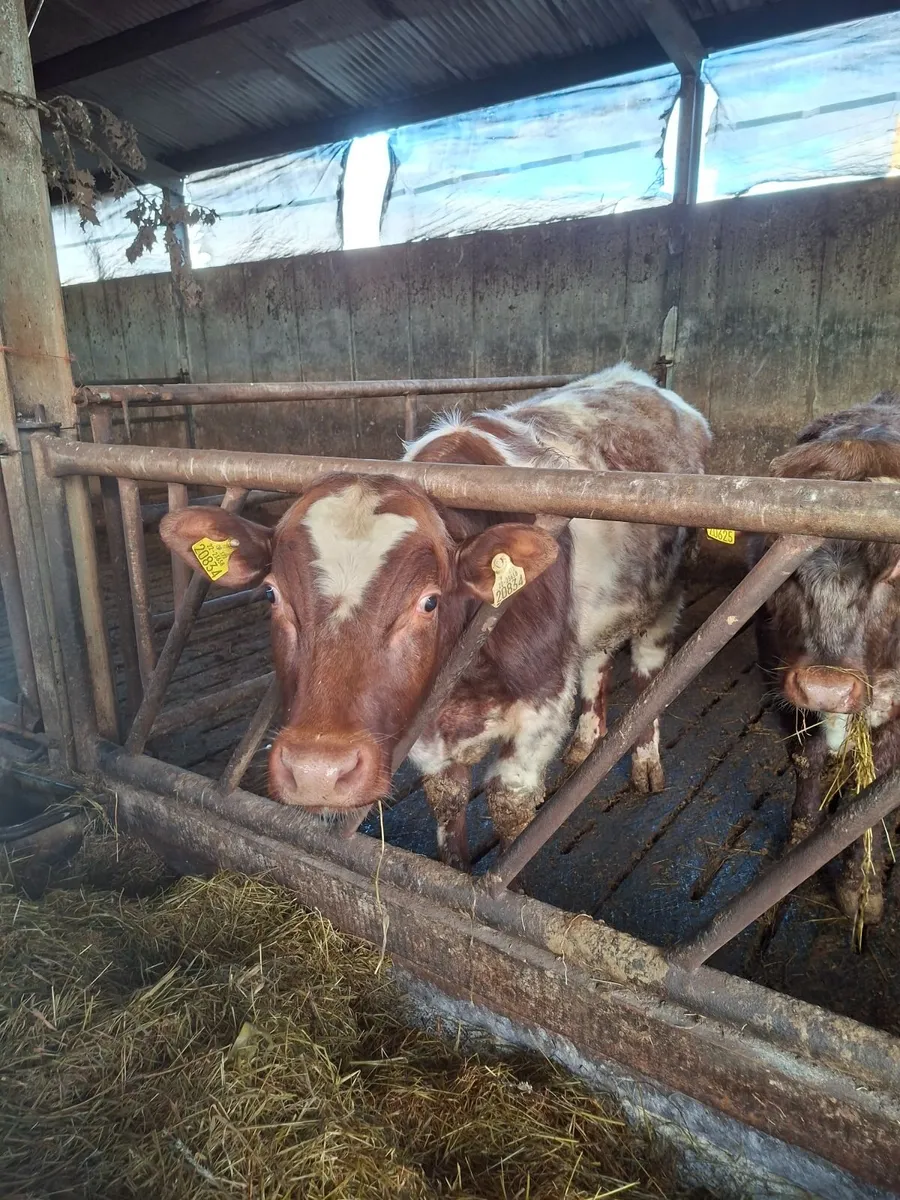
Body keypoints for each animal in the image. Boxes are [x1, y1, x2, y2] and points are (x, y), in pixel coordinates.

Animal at [161, 365, 711, 870]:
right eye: (271, 594)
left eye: (429, 601)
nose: (318, 771)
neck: (468, 682)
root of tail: (638, 380)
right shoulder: (426, 728)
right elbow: (447, 804)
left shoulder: (542, 708)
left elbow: (510, 809)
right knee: (597, 659)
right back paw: (585, 743)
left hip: (668, 595)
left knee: (648, 675)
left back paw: (644, 762)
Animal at [751, 391, 900, 925]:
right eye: (775, 554)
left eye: (896, 567)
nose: (827, 687)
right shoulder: (778, 683)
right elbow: (806, 760)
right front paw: (796, 851)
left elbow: (869, 795)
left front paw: (861, 884)